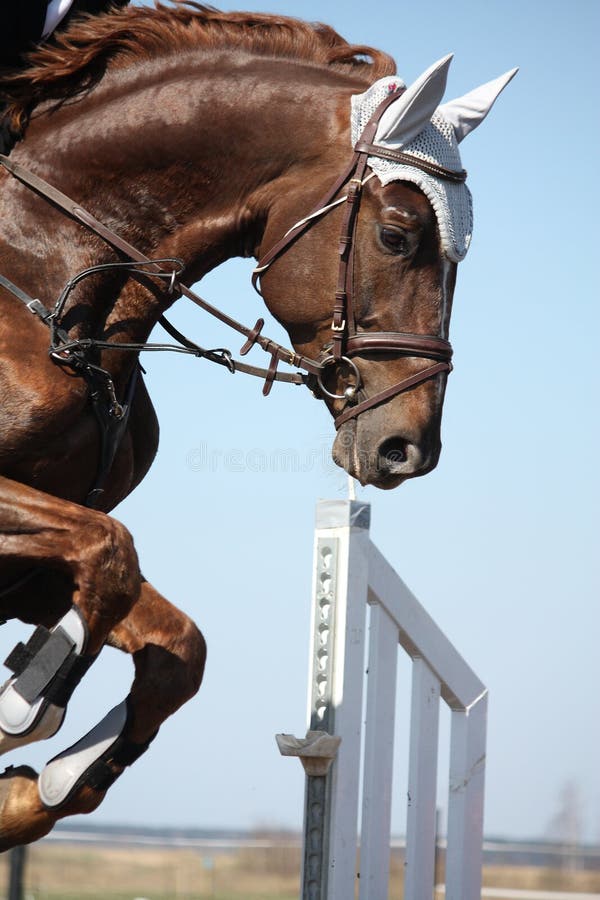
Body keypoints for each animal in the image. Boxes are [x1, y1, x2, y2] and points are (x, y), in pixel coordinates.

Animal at [0, 0, 516, 848]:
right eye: (397, 235)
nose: (408, 448)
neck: (57, 284)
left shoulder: (38, 566)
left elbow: (176, 647)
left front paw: (43, 781)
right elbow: (111, 552)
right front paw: (27, 698)